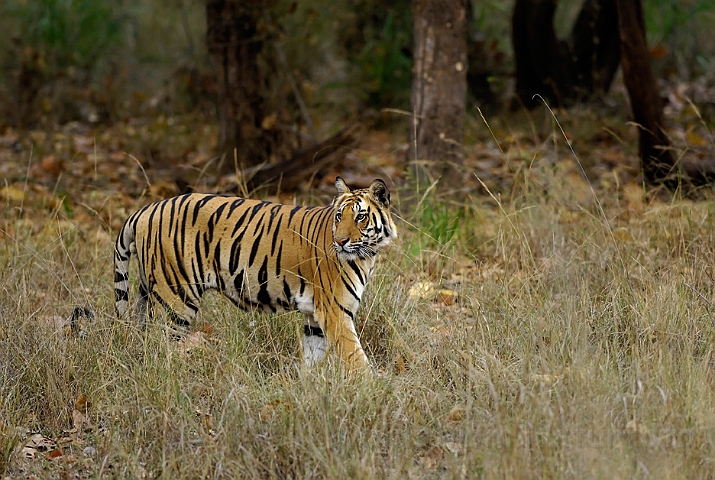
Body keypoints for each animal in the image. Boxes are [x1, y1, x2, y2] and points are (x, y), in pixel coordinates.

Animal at [114, 178, 400, 370]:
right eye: (340, 216)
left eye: (360, 217)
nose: (340, 242)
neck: (367, 255)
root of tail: (145, 210)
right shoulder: (335, 312)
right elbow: (357, 360)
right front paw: (371, 392)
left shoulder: (315, 317)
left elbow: (312, 359)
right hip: (176, 298)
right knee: (159, 346)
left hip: (147, 295)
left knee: (141, 337)